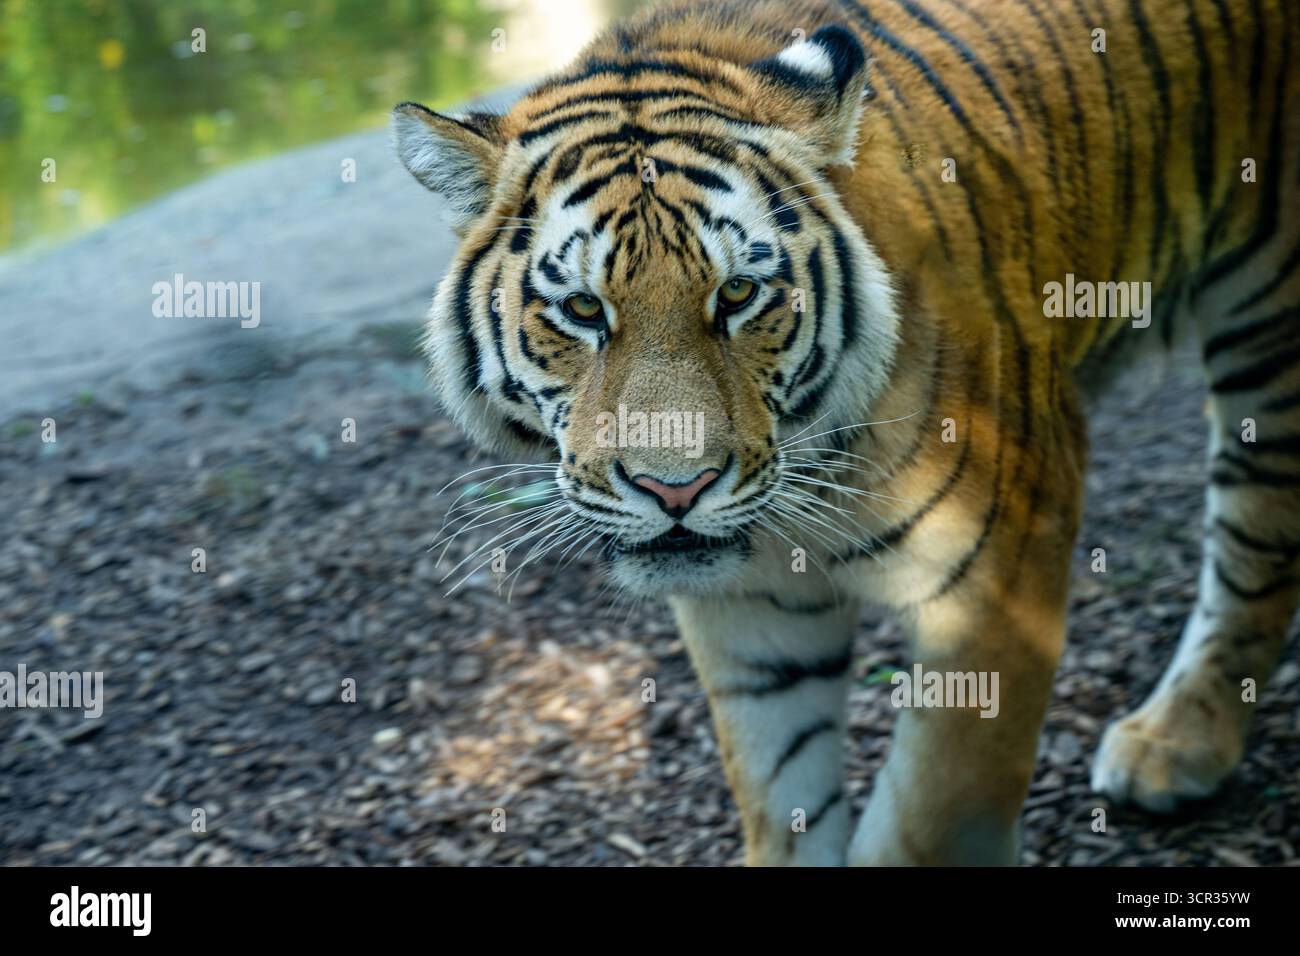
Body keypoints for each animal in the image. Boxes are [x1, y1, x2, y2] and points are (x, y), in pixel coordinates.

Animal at [392, 0, 1300, 865]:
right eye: (583, 310)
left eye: (738, 294)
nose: (674, 491)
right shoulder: (752, 615)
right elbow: (785, 800)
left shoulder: (1002, 574)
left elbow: (931, 818)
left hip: (1267, 326)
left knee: (1254, 550)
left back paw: (1177, 744)